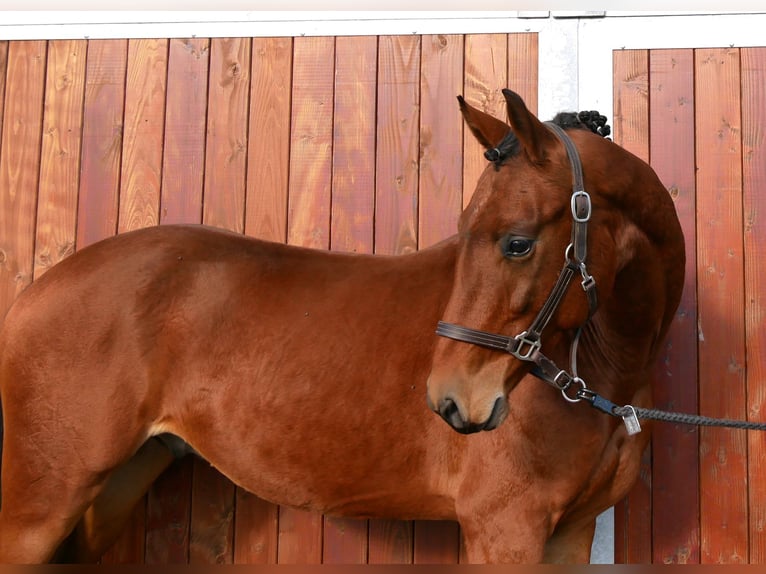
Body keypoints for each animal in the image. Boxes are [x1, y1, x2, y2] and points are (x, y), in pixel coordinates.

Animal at [0, 89, 684, 564]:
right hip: (40, 505)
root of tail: (35, 293)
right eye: (467, 234)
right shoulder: (504, 529)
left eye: (516, 242)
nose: (449, 400)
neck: (600, 375)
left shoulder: (570, 532)